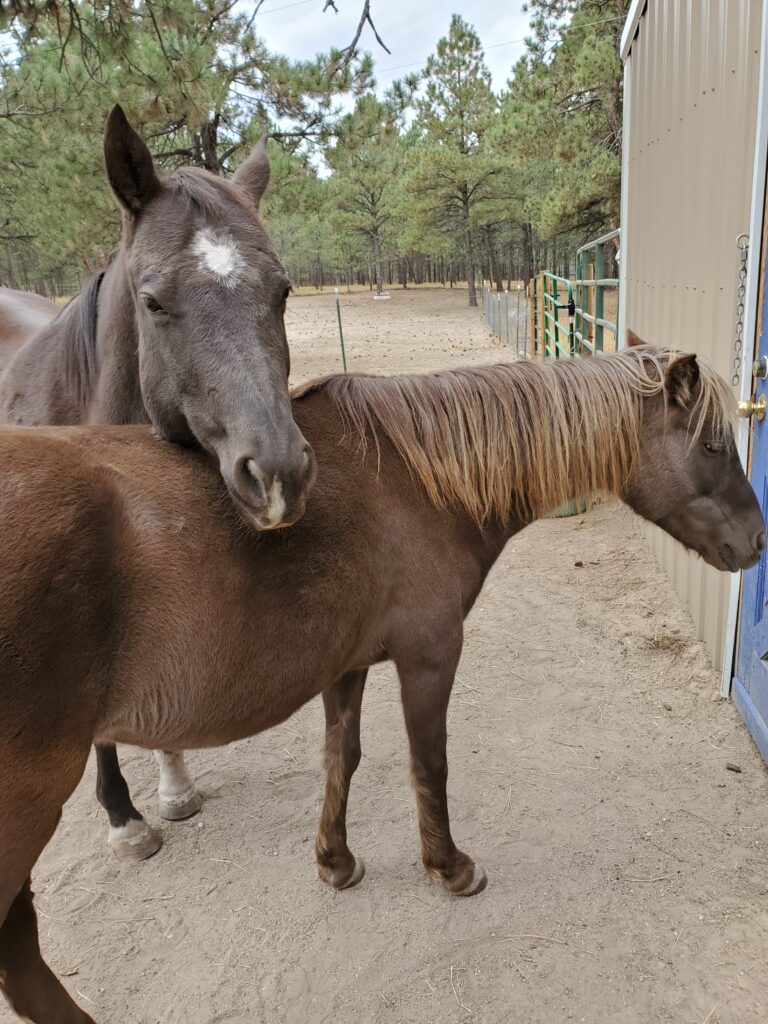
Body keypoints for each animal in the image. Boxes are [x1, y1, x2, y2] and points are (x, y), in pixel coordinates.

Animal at [0, 346, 765, 1024]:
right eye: (713, 446)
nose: (757, 543)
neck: (410, 479)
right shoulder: (429, 655)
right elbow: (429, 764)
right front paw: (449, 868)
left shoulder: (347, 664)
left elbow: (343, 758)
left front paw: (336, 862)